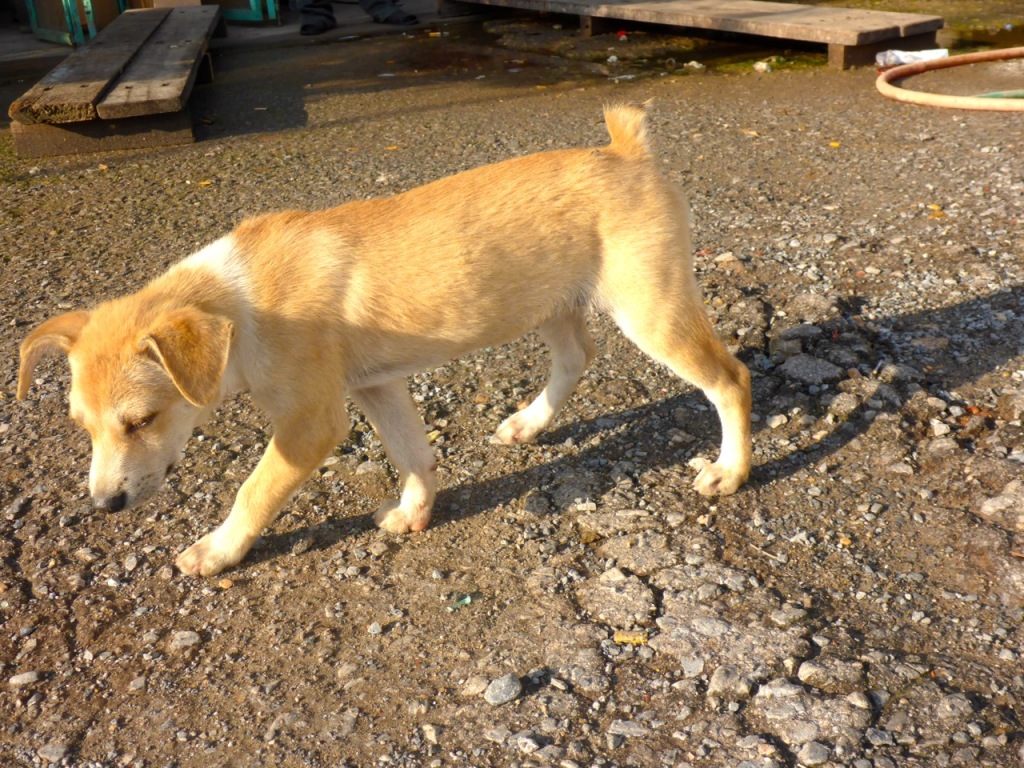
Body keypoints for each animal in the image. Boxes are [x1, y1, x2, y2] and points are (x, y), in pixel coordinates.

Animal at [16, 103, 753, 577]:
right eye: (82, 427)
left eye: (141, 420)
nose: (104, 505)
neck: (241, 302)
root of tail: (627, 151)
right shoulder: (377, 386)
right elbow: (413, 454)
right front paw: (415, 512)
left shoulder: (311, 425)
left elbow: (254, 491)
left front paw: (218, 550)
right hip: (549, 301)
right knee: (578, 358)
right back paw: (530, 423)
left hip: (651, 309)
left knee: (731, 380)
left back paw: (730, 470)